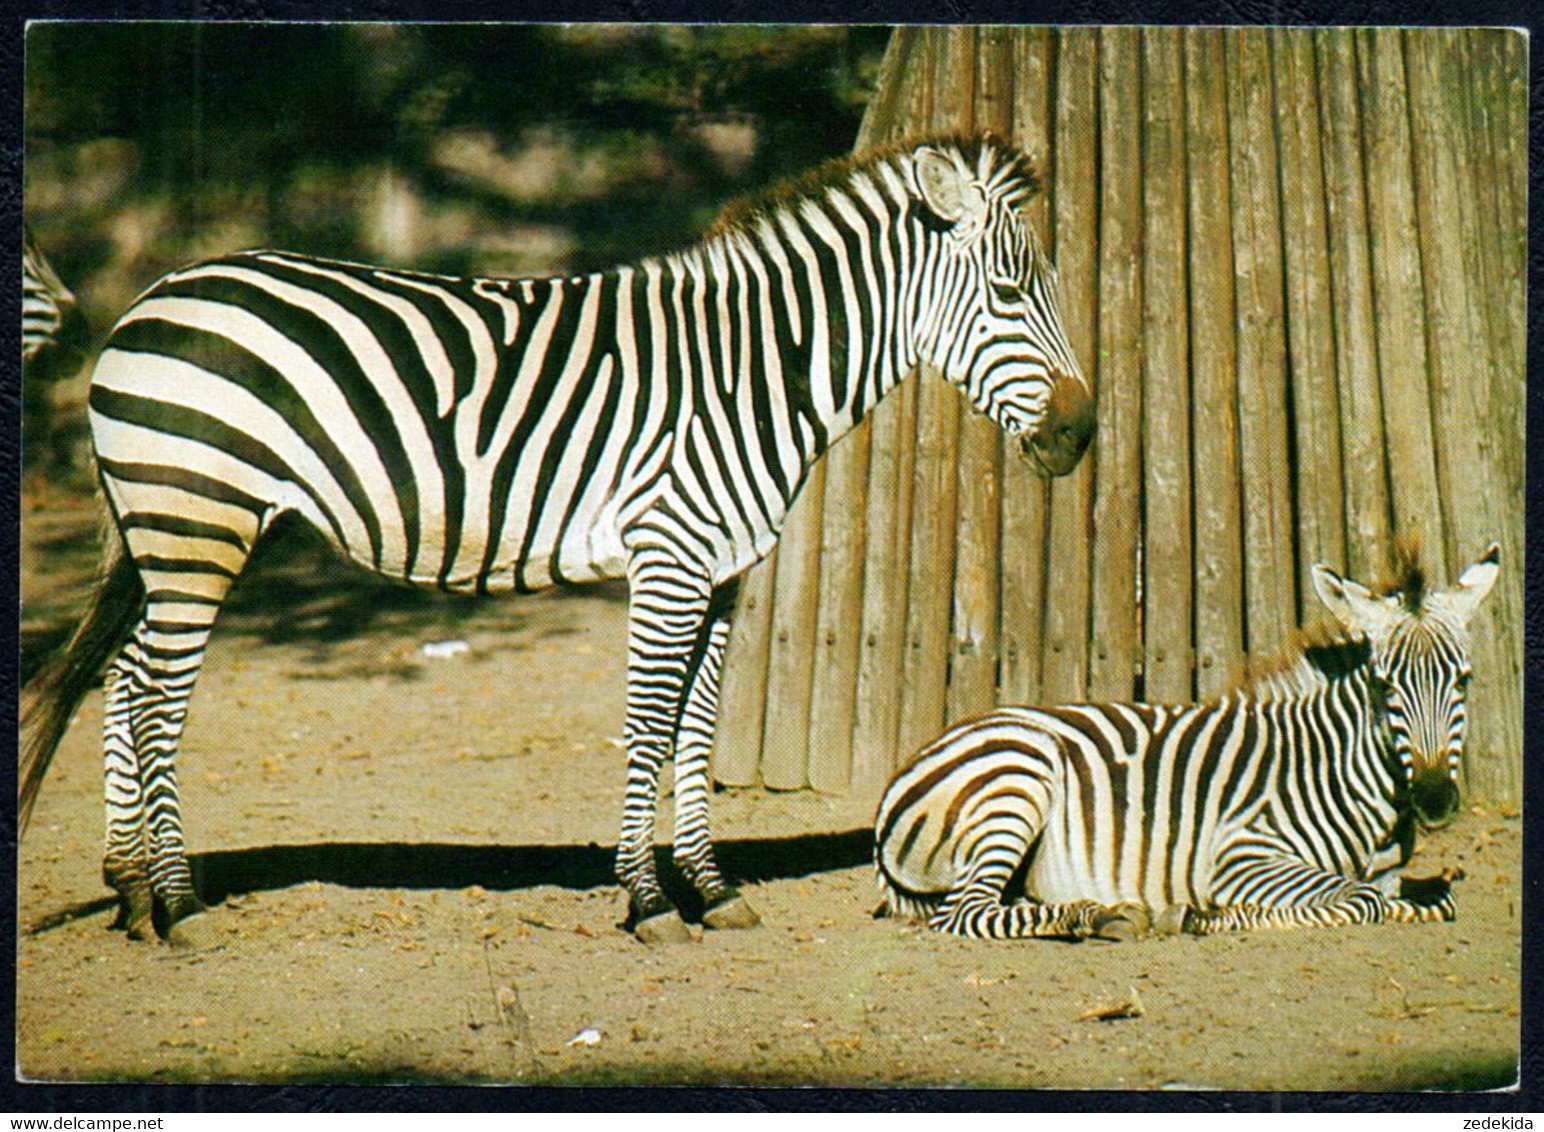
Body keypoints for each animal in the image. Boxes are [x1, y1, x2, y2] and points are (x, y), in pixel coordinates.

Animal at [18, 132, 1093, 945]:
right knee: (156, 699)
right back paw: (180, 906)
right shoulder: (669, 557)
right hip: (200, 519)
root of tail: (155, 295)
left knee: (123, 683)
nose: (1082, 434)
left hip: (170, 530)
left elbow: (697, 729)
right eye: (1009, 293)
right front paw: (649, 903)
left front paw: (712, 891)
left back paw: (132, 891)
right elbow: (649, 723)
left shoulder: (725, 573)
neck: (752, 373)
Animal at [876, 537, 1500, 938]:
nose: (1435, 802)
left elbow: (1429, 900)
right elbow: (1364, 900)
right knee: (966, 913)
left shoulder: (1389, 874)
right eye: (1384, 684)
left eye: (1464, 680)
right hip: (1017, 783)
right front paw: (1204, 914)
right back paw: (1100, 915)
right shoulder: (1241, 854)